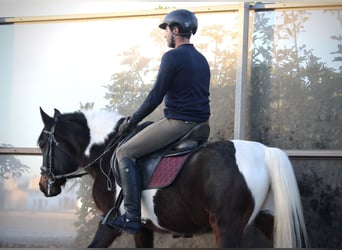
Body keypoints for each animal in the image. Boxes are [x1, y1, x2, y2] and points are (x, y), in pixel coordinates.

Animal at [37, 107, 310, 248]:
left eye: (41, 144)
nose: (43, 185)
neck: (108, 150)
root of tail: (265, 152)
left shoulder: (110, 222)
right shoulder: (144, 229)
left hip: (227, 227)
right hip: (269, 218)